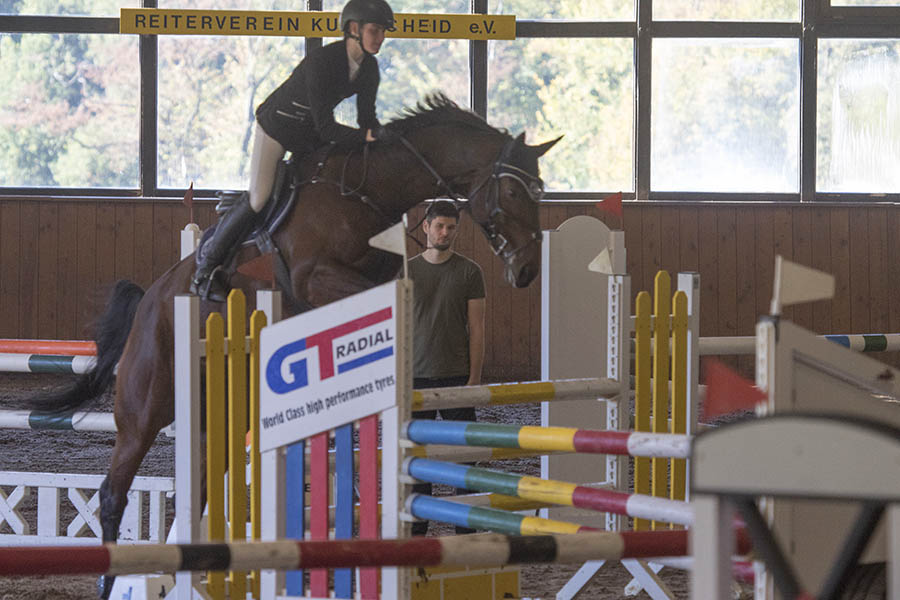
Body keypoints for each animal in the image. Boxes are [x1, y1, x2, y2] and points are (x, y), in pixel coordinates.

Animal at [33, 94, 556, 596]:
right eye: (513, 191)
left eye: (539, 190)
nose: (528, 269)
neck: (369, 191)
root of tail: (150, 301)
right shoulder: (316, 277)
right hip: (145, 407)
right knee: (113, 491)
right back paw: (111, 580)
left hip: (216, 414)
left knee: (196, 491)